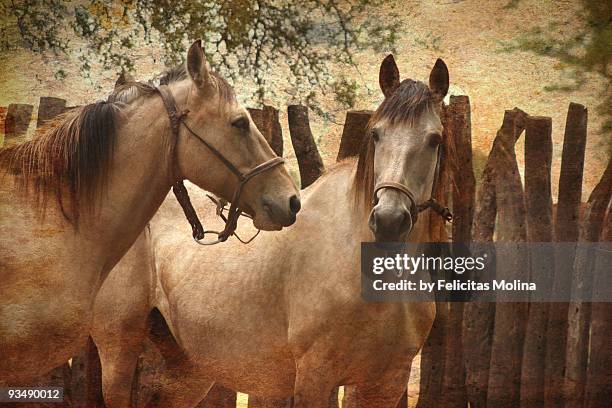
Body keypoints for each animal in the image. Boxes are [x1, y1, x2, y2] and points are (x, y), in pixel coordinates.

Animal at [95, 55, 450, 408]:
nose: (389, 219)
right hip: (119, 349)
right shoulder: (315, 375)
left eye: (435, 140)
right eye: (376, 134)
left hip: (189, 369)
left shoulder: (386, 383)